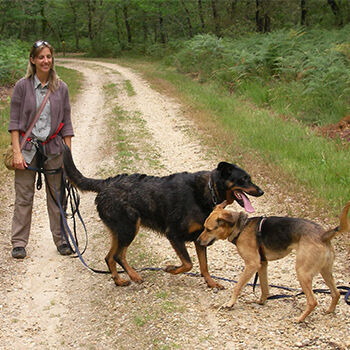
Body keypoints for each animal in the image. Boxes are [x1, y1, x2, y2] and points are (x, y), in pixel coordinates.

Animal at [63, 145, 262, 288]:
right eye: (243, 180)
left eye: (250, 178)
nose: (261, 191)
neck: (209, 190)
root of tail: (105, 183)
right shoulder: (173, 234)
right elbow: (188, 264)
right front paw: (172, 269)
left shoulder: (200, 238)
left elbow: (204, 266)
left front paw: (211, 282)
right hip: (129, 228)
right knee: (119, 256)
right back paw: (134, 275)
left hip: (119, 231)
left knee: (109, 257)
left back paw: (119, 280)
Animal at [197, 201, 350, 322]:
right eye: (204, 227)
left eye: (208, 229)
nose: (197, 241)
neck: (241, 227)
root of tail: (323, 235)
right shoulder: (262, 264)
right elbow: (264, 288)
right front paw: (261, 301)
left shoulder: (252, 264)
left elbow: (238, 286)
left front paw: (230, 303)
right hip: (325, 271)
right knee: (336, 293)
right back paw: (329, 311)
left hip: (303, 272)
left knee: (313, 301)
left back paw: (299, 319)